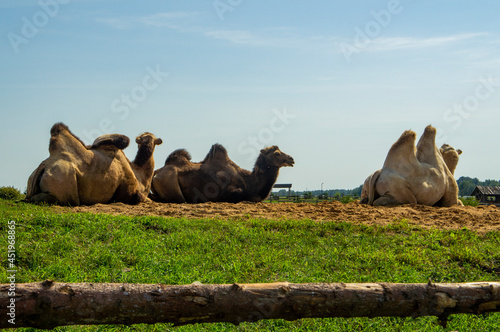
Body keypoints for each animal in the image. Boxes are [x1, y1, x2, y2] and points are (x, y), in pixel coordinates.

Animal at [150, 145, 294, 204]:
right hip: (171, 184)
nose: (291, 159)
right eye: (276, 153)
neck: (250, 181)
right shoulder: (231, 190)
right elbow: (246, 196)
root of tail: (156, 173)